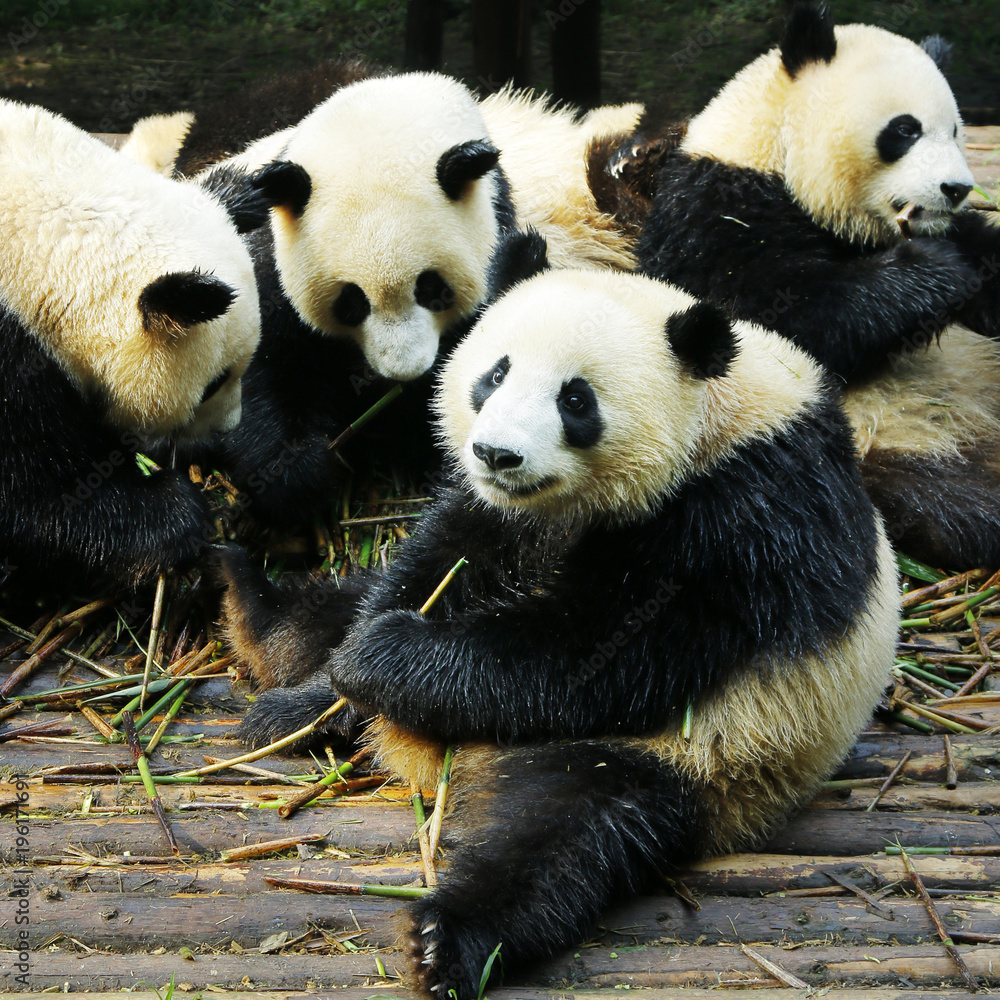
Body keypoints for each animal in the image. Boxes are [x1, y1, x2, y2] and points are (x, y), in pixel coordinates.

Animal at [213, 234, 900, 1000]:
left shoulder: (746, 514)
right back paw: (260, 627)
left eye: (576, 399)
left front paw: (384, 660)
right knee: (336, 604)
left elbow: (602, 651)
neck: (720, 416)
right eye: (494, 374)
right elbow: (439, 564)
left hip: (694, 757)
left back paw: (444, 939)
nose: (496, 454)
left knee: (563, 838)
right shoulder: (499, 513)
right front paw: (338, 680)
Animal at [588, 1, 1000, 572]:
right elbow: (784, 316)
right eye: (905, 130)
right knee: (942, 505)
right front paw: (936, 269)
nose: (957, 189)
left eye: (958, 130)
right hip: (885, 442)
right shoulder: (712, 213)